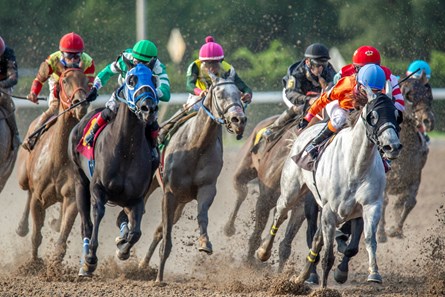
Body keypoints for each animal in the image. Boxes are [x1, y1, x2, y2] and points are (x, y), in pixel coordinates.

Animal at [68, 63, 159, 276]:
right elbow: (97, 214)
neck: (125, 151)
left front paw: (123, 249)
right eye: (131, 80)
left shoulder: (137, 198)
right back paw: (85, 262)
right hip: (79, 180)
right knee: (86, 223)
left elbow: (136, 232)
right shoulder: (97, 188)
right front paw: (90, 259)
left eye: (154, 79)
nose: (148, 108)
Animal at [139, 68, 246, 284]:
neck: (196, 146)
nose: (239, 120)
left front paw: (205, 243)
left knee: (158, 230)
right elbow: (166, 235)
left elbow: (201, 216)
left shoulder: (207, 188)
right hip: (154, 185)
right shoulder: (169, 193)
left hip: (180, 203)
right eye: (220, 94)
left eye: (239, 94)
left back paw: (143, 263)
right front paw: (159, 278)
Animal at [253, 92, 402, 286]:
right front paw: (323, 287)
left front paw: (373, 273)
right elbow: (327, 256)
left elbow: (367, 240)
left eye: (397, 115)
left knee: (316, 238)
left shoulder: (369, 206)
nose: (393, 146)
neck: (355, 165)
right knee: (280, 214)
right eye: (373, 116)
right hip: (292, 191)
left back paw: (301, 277)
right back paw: (263, 252)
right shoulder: (330, 210)